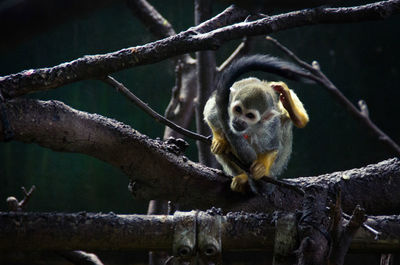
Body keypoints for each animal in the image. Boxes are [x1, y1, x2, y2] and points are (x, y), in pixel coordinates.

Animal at [203, 55, 310, 192]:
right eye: (238, 109)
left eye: (250, 116)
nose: (238, 121)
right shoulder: (223, 106)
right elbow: (209, 114)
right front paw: (220, 140)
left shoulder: (269, 126)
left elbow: (272, 147)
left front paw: (261, 168)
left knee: (287, 119)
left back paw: (295, 113)